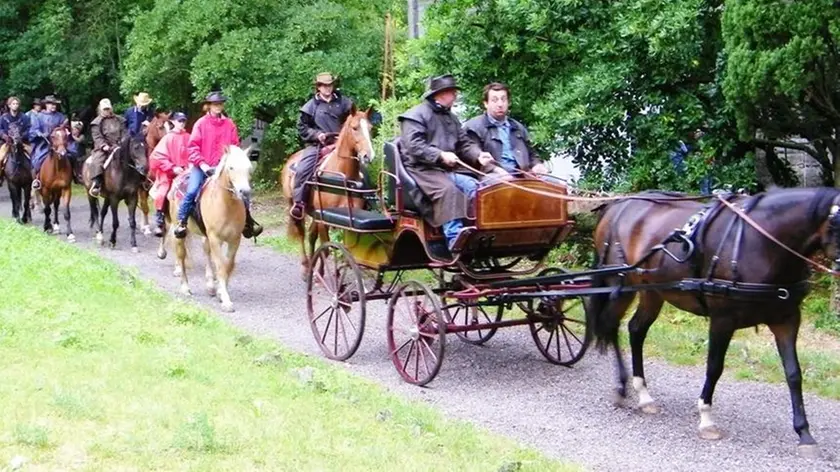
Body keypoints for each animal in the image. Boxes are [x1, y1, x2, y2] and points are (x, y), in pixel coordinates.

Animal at [159, 146, 253, 312]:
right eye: (231, 167)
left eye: (249, 168)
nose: (245, 192)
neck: (226, 205)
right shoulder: (215, 238)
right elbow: (220, 266)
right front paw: (226, 301)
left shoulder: (235, 239)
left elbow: (228, 265)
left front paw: (220, 292)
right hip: (179, 232)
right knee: (181, 256)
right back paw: (185, 287)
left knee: (206, 254)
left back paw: (210, 286)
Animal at [280, 107, 376, 276]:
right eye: (354, 128)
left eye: (370, 128)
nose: (368, 156)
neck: (342, 177)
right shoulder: (324, 219)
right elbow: (326, 248)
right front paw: (324, 274)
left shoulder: (345, 220)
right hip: (295, 206)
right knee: (302, 233)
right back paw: (306, 267)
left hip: (314, 213)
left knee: (311, 236)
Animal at [588, 186, 840, 456]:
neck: (764, 242)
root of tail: (617, 206)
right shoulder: (722, 319)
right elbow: (714, 367)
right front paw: (706, 419)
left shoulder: (787, 319)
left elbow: (793, 373)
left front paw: (804, 433)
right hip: (620, 284)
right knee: (611, 326)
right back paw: (621, 386)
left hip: (652, 291)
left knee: (636, 330)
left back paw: (644, 395)